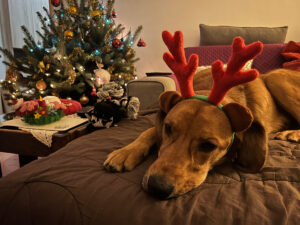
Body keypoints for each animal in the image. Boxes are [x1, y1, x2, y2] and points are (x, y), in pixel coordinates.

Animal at [103, 30, 300, 198]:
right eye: (168, 128)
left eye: (208, 146)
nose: (157, 187)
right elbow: (149, 131)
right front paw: (126, 152)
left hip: (276, 78)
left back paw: (292, 133)